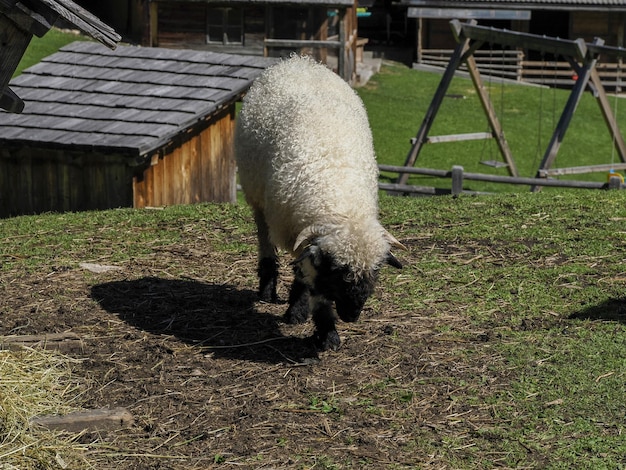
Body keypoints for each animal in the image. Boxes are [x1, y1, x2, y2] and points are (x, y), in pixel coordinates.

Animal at [232, 55, 402, 350]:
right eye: (338, 272)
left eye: (374, 273)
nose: (351, 316)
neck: (341, 201)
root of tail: (299, 60)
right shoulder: (299, 235)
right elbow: (314, 287)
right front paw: (325, 330)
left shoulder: (306, 240)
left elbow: (303, 275)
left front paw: (300, 311)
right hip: (257, 195)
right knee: (264, 238)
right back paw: (267, 287)